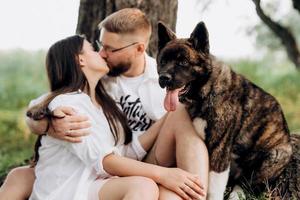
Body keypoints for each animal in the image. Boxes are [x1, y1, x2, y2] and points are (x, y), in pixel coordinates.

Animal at [157, 21, 292, 199]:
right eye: (162, 62)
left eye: (183, 62)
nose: (163, 78)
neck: (206, 90)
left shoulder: (219, 150)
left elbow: (214, 189)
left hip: (272, 158)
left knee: (246, 184)